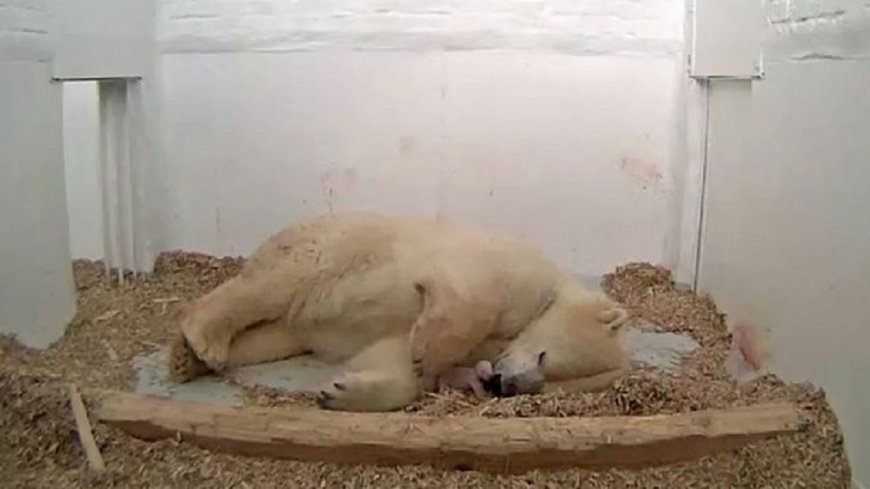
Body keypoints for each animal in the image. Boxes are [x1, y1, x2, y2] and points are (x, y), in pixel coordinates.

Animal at [167, 212, 631, 412]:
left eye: (549, 387)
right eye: (546, 359)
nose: (506, 386)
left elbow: (390, 354)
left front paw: (342, 391)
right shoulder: (506, 269)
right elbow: (466, 295)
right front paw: (428, 351)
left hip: (300, 319)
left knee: (273, 336)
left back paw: (187, 359)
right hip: (325, 253)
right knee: (271, 287)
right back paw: (204, 341)